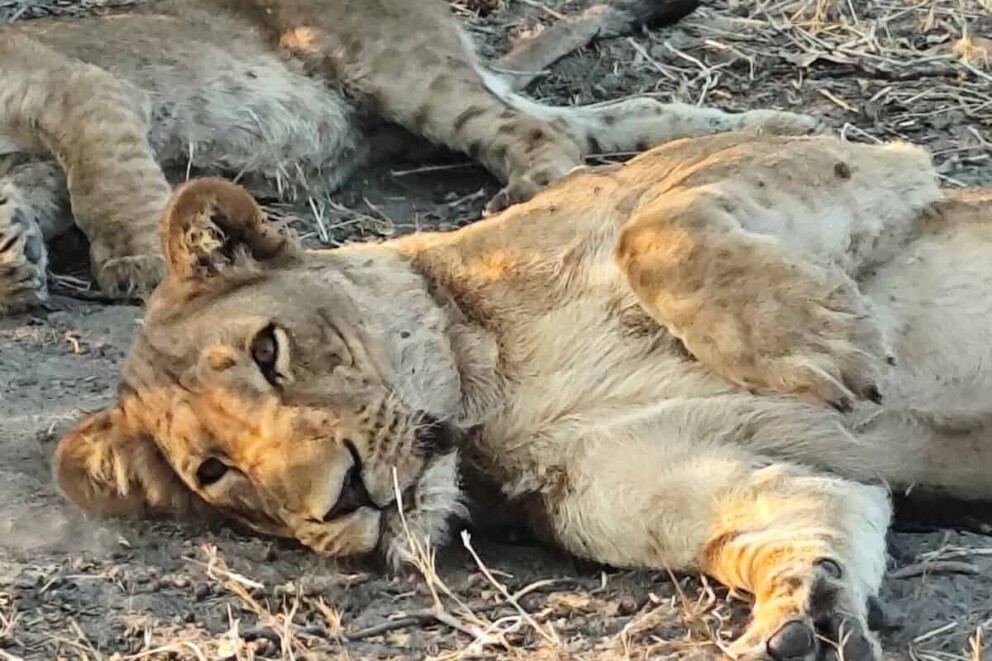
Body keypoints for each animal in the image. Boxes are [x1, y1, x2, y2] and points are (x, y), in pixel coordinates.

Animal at [0, 0, 824, 314]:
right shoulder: (37, 162)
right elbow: (44, 193)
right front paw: (16, 264)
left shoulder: (83, 90)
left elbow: (105, 178)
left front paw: (136, 259)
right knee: (610, 118)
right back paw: (779, 125)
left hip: (394, 73)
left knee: (545, 139)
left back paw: (532, 210)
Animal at [53, 131, 992, 660]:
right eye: (215, 472)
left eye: (267, 349)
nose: (340, 497)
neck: (495, 392)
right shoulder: (654, 475)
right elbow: (801, 515)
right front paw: (805, 613)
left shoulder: (837, 155)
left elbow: (657, 231)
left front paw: (823, 341)